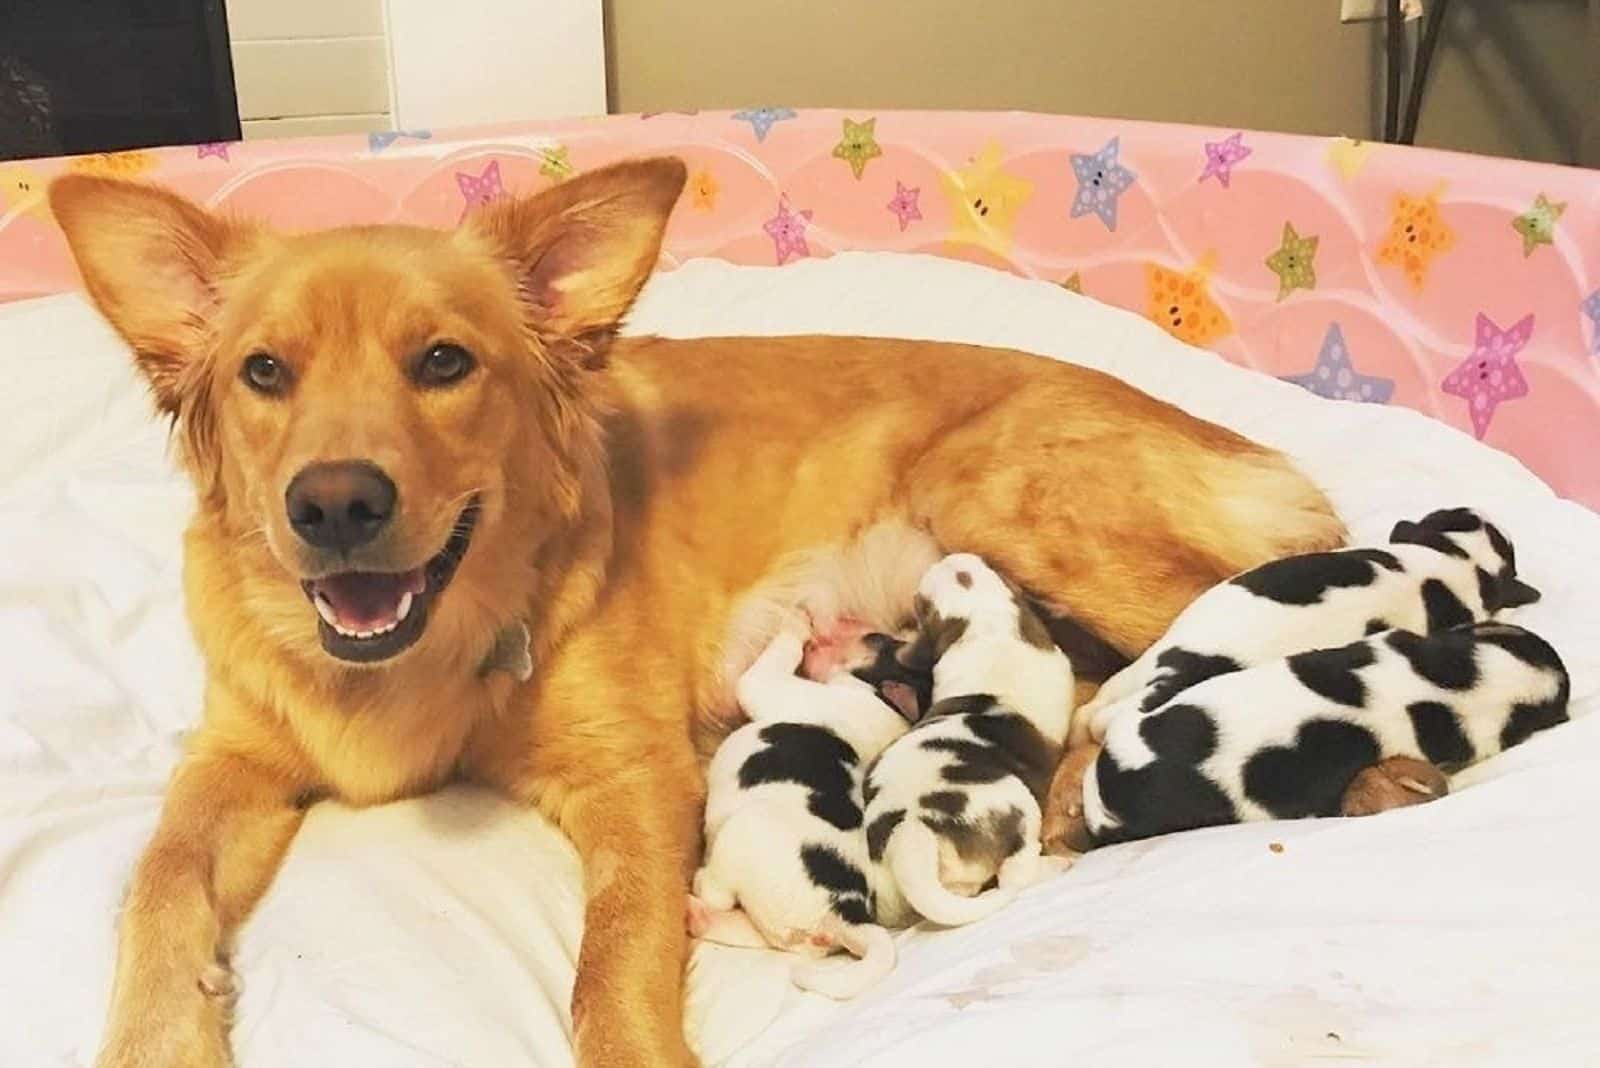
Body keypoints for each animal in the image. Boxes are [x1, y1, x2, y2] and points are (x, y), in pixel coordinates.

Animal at [694, 620, 934, 997]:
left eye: (876, 638)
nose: (837, 622)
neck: (884, 700)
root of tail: (847, 914)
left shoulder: (772, 685)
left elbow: (766, 668)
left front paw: (796, 622)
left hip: (743, 833)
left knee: (716, 893)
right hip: (776, 927)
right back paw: (694, 916)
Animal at [864, 556, 1075, 927]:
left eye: (990, 566)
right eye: (922, 605)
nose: (951, 559)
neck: (989, 625)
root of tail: (911, 831)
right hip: (1020, 805)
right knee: (1013, 875)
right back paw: (1055, 864)